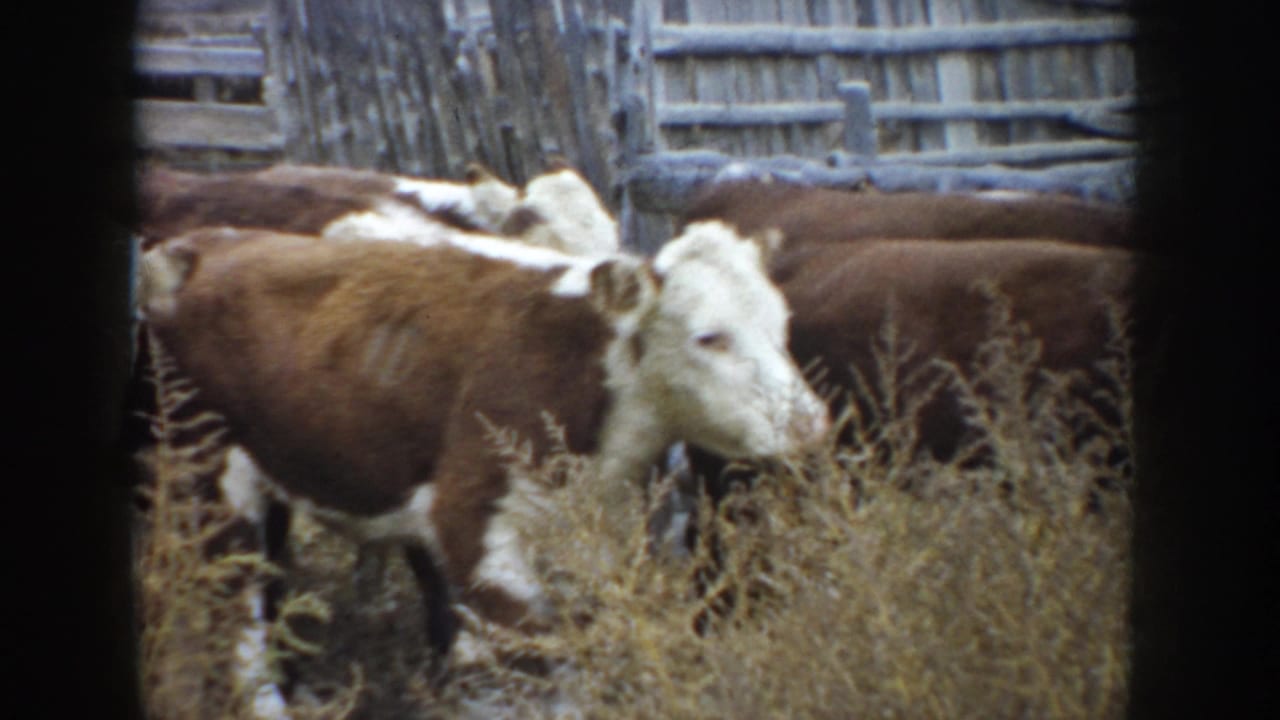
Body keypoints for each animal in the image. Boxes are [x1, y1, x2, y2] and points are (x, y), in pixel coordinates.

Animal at [137, 220, 829, 713]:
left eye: (783, 325)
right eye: (709, 336)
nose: (808, 423)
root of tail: (193, 246)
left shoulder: (591, 536)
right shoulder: (477, 527)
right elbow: (541, 659)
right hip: (206, 477)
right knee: (236, 617)